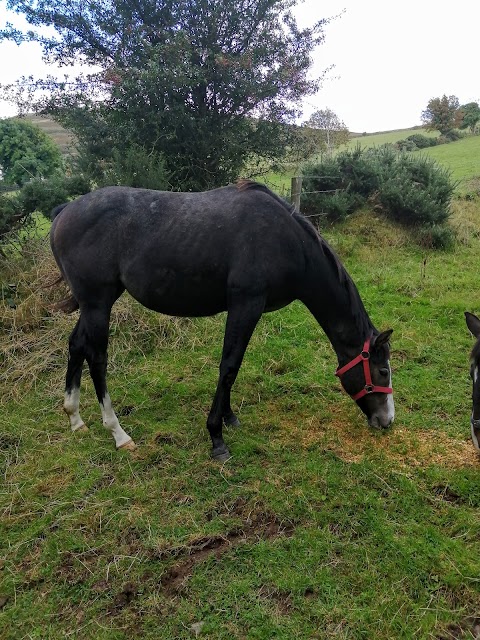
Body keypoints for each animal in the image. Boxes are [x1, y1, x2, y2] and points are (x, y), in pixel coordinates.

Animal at [49, 180, 394, 460]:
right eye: (383, 371)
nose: (386, 421)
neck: (286, 240)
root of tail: (65, 211)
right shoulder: (247, 303)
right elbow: (229, 366)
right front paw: (217, 437)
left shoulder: (241, 309)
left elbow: (232, 365)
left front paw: (228, 417)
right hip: (98, 303)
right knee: (97, 357)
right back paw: (118, 433)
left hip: (93, 304)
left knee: (76, 344)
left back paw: (75, 417)